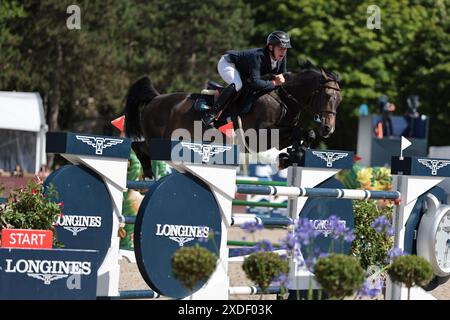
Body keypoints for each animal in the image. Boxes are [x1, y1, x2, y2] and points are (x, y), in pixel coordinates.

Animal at [123, 61, 342, 179]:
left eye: (339, 100)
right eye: (326, 96)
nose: (328, 129)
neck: (283, 99)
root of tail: (155, 99)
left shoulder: (281, 135)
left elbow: (305, 133)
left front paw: (290, 156)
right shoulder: (260, 136)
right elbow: (298, 132)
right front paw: (289, 156)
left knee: (140, 147)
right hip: (159, 141)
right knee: (138, 146)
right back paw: (148, 175)